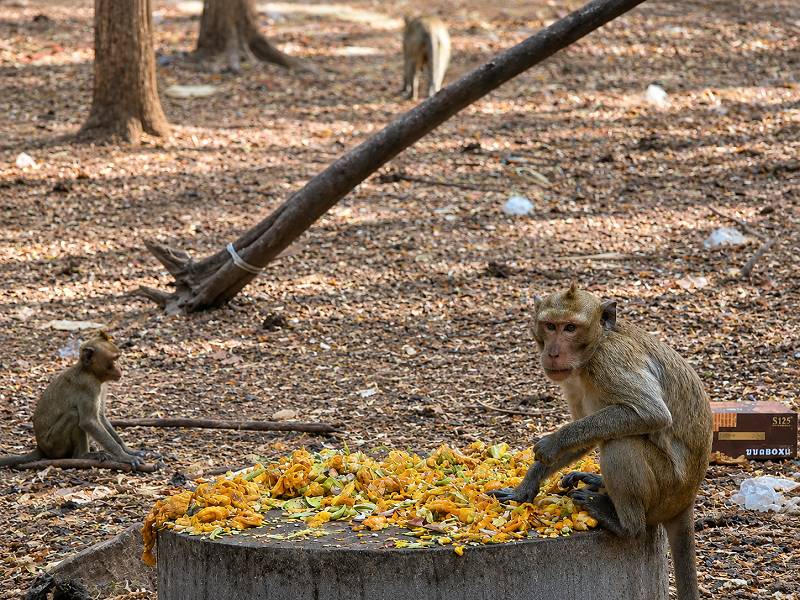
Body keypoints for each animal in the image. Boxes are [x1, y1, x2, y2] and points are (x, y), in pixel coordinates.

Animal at [0, 332, 145, 469]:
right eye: (115, 359)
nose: (121, 368)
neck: (90, 372)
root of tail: (40, 447)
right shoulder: (89, 386)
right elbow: (89, 421)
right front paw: (124, 456)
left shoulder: (102, 386)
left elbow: (100, 417)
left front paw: (129, 450)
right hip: (53, 444)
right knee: (74, 415)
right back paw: (83, 455)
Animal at [490, 283, 712, 600]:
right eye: (550, 326)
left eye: (570, 328)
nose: (553, 353)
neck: (593, 352)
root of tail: (688, 499)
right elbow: (584, 440)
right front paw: (524, 489)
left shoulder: (611, 362)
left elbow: (650, 413)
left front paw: (551, 443)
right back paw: (598, 485)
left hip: (667, 489)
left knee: (622, 444)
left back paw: (624, 524)